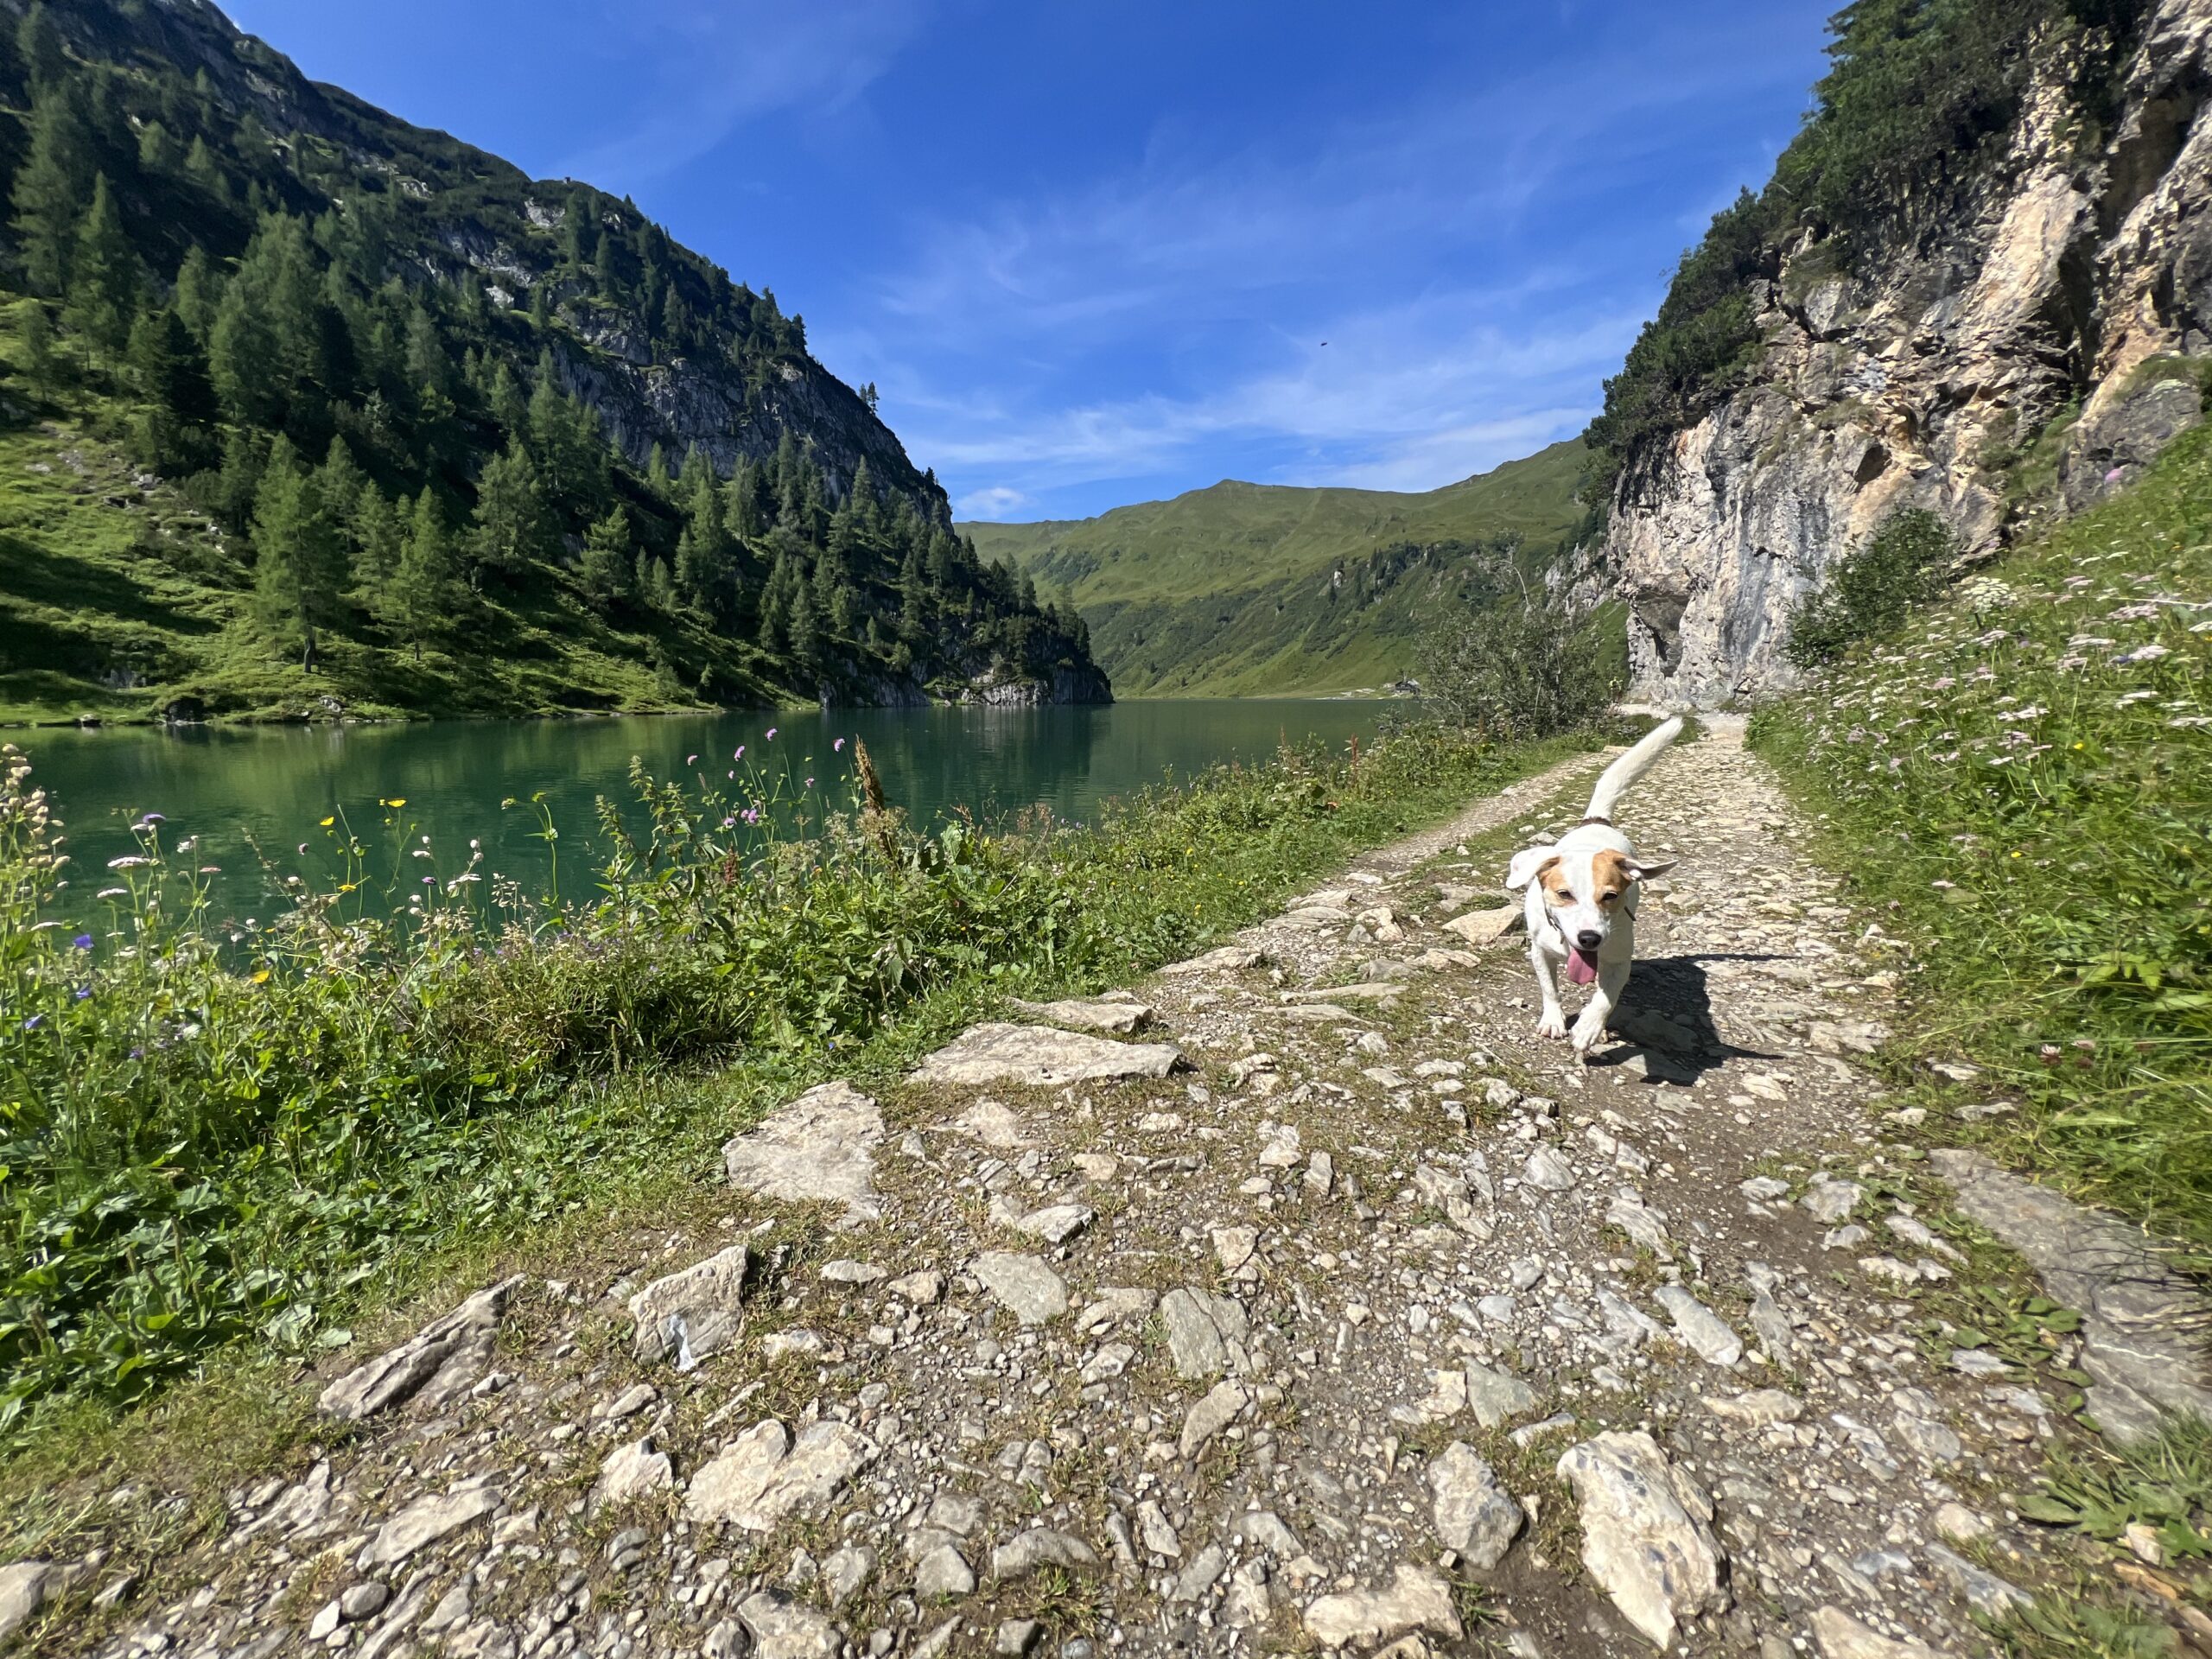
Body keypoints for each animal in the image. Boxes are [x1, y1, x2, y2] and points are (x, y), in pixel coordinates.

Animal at [1513, 721, 1681, 1057]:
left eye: (1610, 896)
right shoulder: (1540, 951)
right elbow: (1549, 988)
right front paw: (1554, 1019)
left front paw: (1589, 1028)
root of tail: (1597, 821)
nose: (1590, 938)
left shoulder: (1619, 960)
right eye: (1564, 894)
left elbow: (1606, 998)